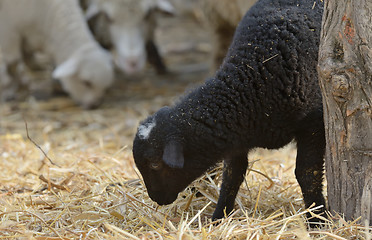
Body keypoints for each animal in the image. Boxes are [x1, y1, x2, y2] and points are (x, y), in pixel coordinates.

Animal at [133, 0, 326, 225]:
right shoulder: (236, 136)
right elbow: (232, 176)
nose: (156, 198)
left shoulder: (313, 124)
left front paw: (318, 218)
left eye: (155, 164)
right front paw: (219, 217)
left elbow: (307, 172)